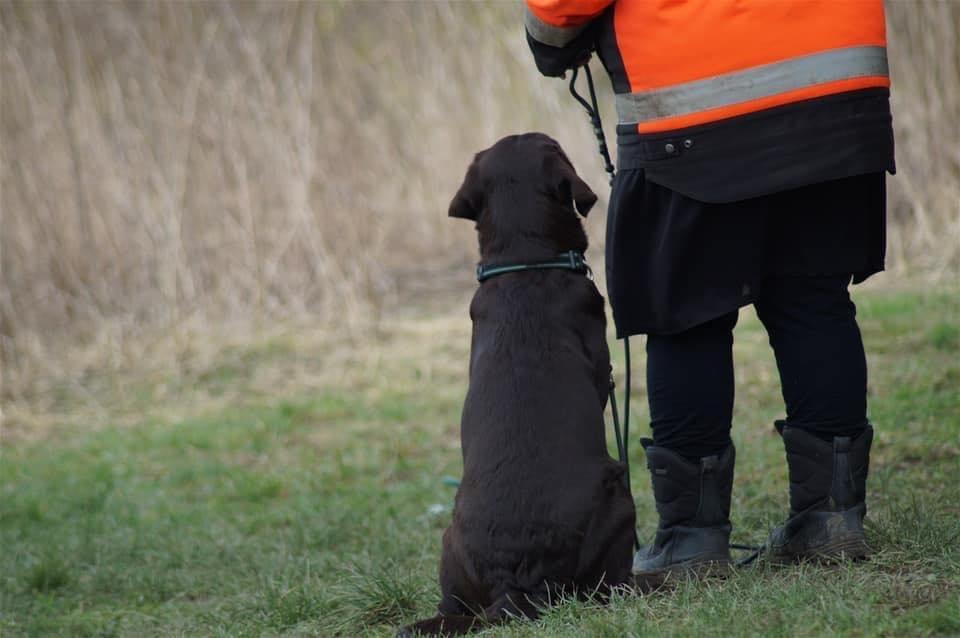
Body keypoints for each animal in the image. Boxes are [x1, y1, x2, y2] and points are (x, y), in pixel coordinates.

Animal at [398, 132, 636, 636]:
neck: (526, 263)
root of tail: (517, 579)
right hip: (619, 494)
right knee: (609, 587)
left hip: (448, 540)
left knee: (453, 610)